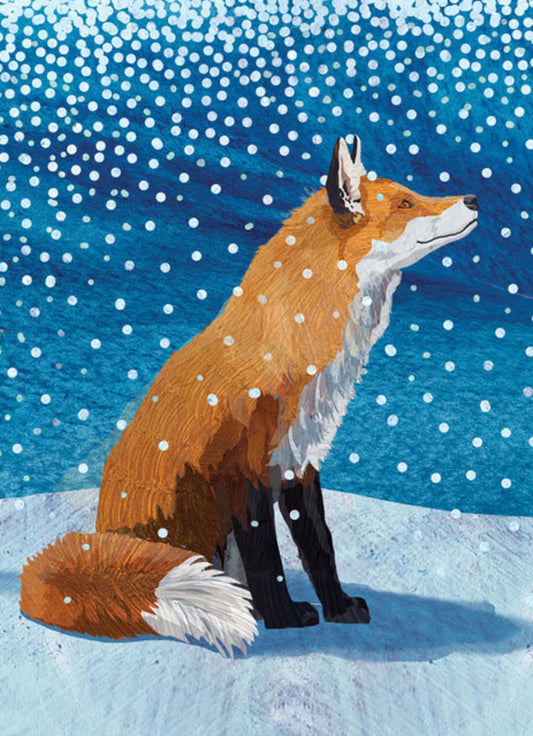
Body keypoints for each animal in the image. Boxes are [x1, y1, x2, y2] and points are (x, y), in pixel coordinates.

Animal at [20, 134, 479, 656]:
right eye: (405, 204)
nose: (473, 199)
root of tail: (101, 532)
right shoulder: (243, 468)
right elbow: (268, 559)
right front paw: (285, 619)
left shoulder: (299, 460)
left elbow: (320, 547)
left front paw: (338, 608)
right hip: (193, 506)